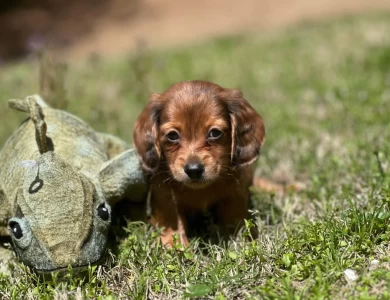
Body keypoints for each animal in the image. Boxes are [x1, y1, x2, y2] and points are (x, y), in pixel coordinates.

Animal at [133, 81, 266, 247]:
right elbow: (172, 222)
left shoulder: (235, 193)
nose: (194, 170)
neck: (199, 191)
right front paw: (174, 245)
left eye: (215, 133)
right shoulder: (165, 196)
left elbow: (234, 219)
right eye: (172, 135)